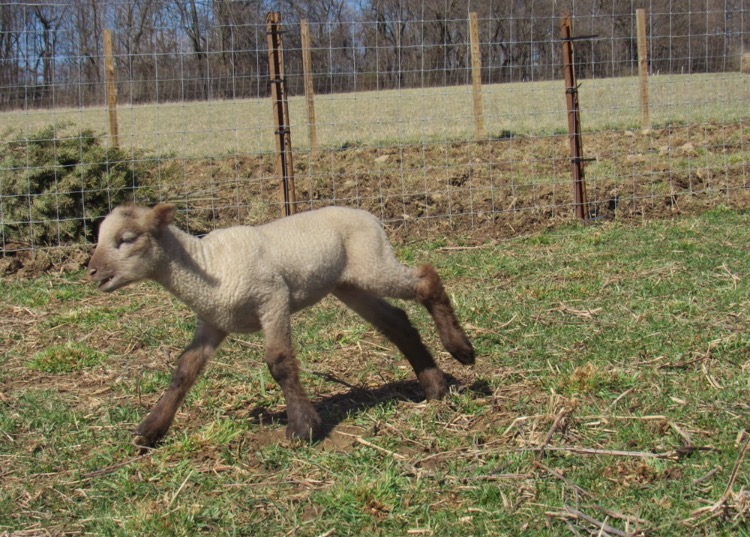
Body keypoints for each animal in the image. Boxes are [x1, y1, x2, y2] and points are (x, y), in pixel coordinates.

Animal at [88, 203, 475, 448]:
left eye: (127, 238)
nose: (92, 271)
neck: (208, 266)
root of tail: (368, 215)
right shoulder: (213, 322)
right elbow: (184, 370)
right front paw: (151, 430)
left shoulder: (273, 299)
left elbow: (279, 362)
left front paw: (303, 427)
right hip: (349, 283)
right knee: (397, 322)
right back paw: (435, 385)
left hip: (372, 262)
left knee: (425, 280)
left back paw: (461, 350)